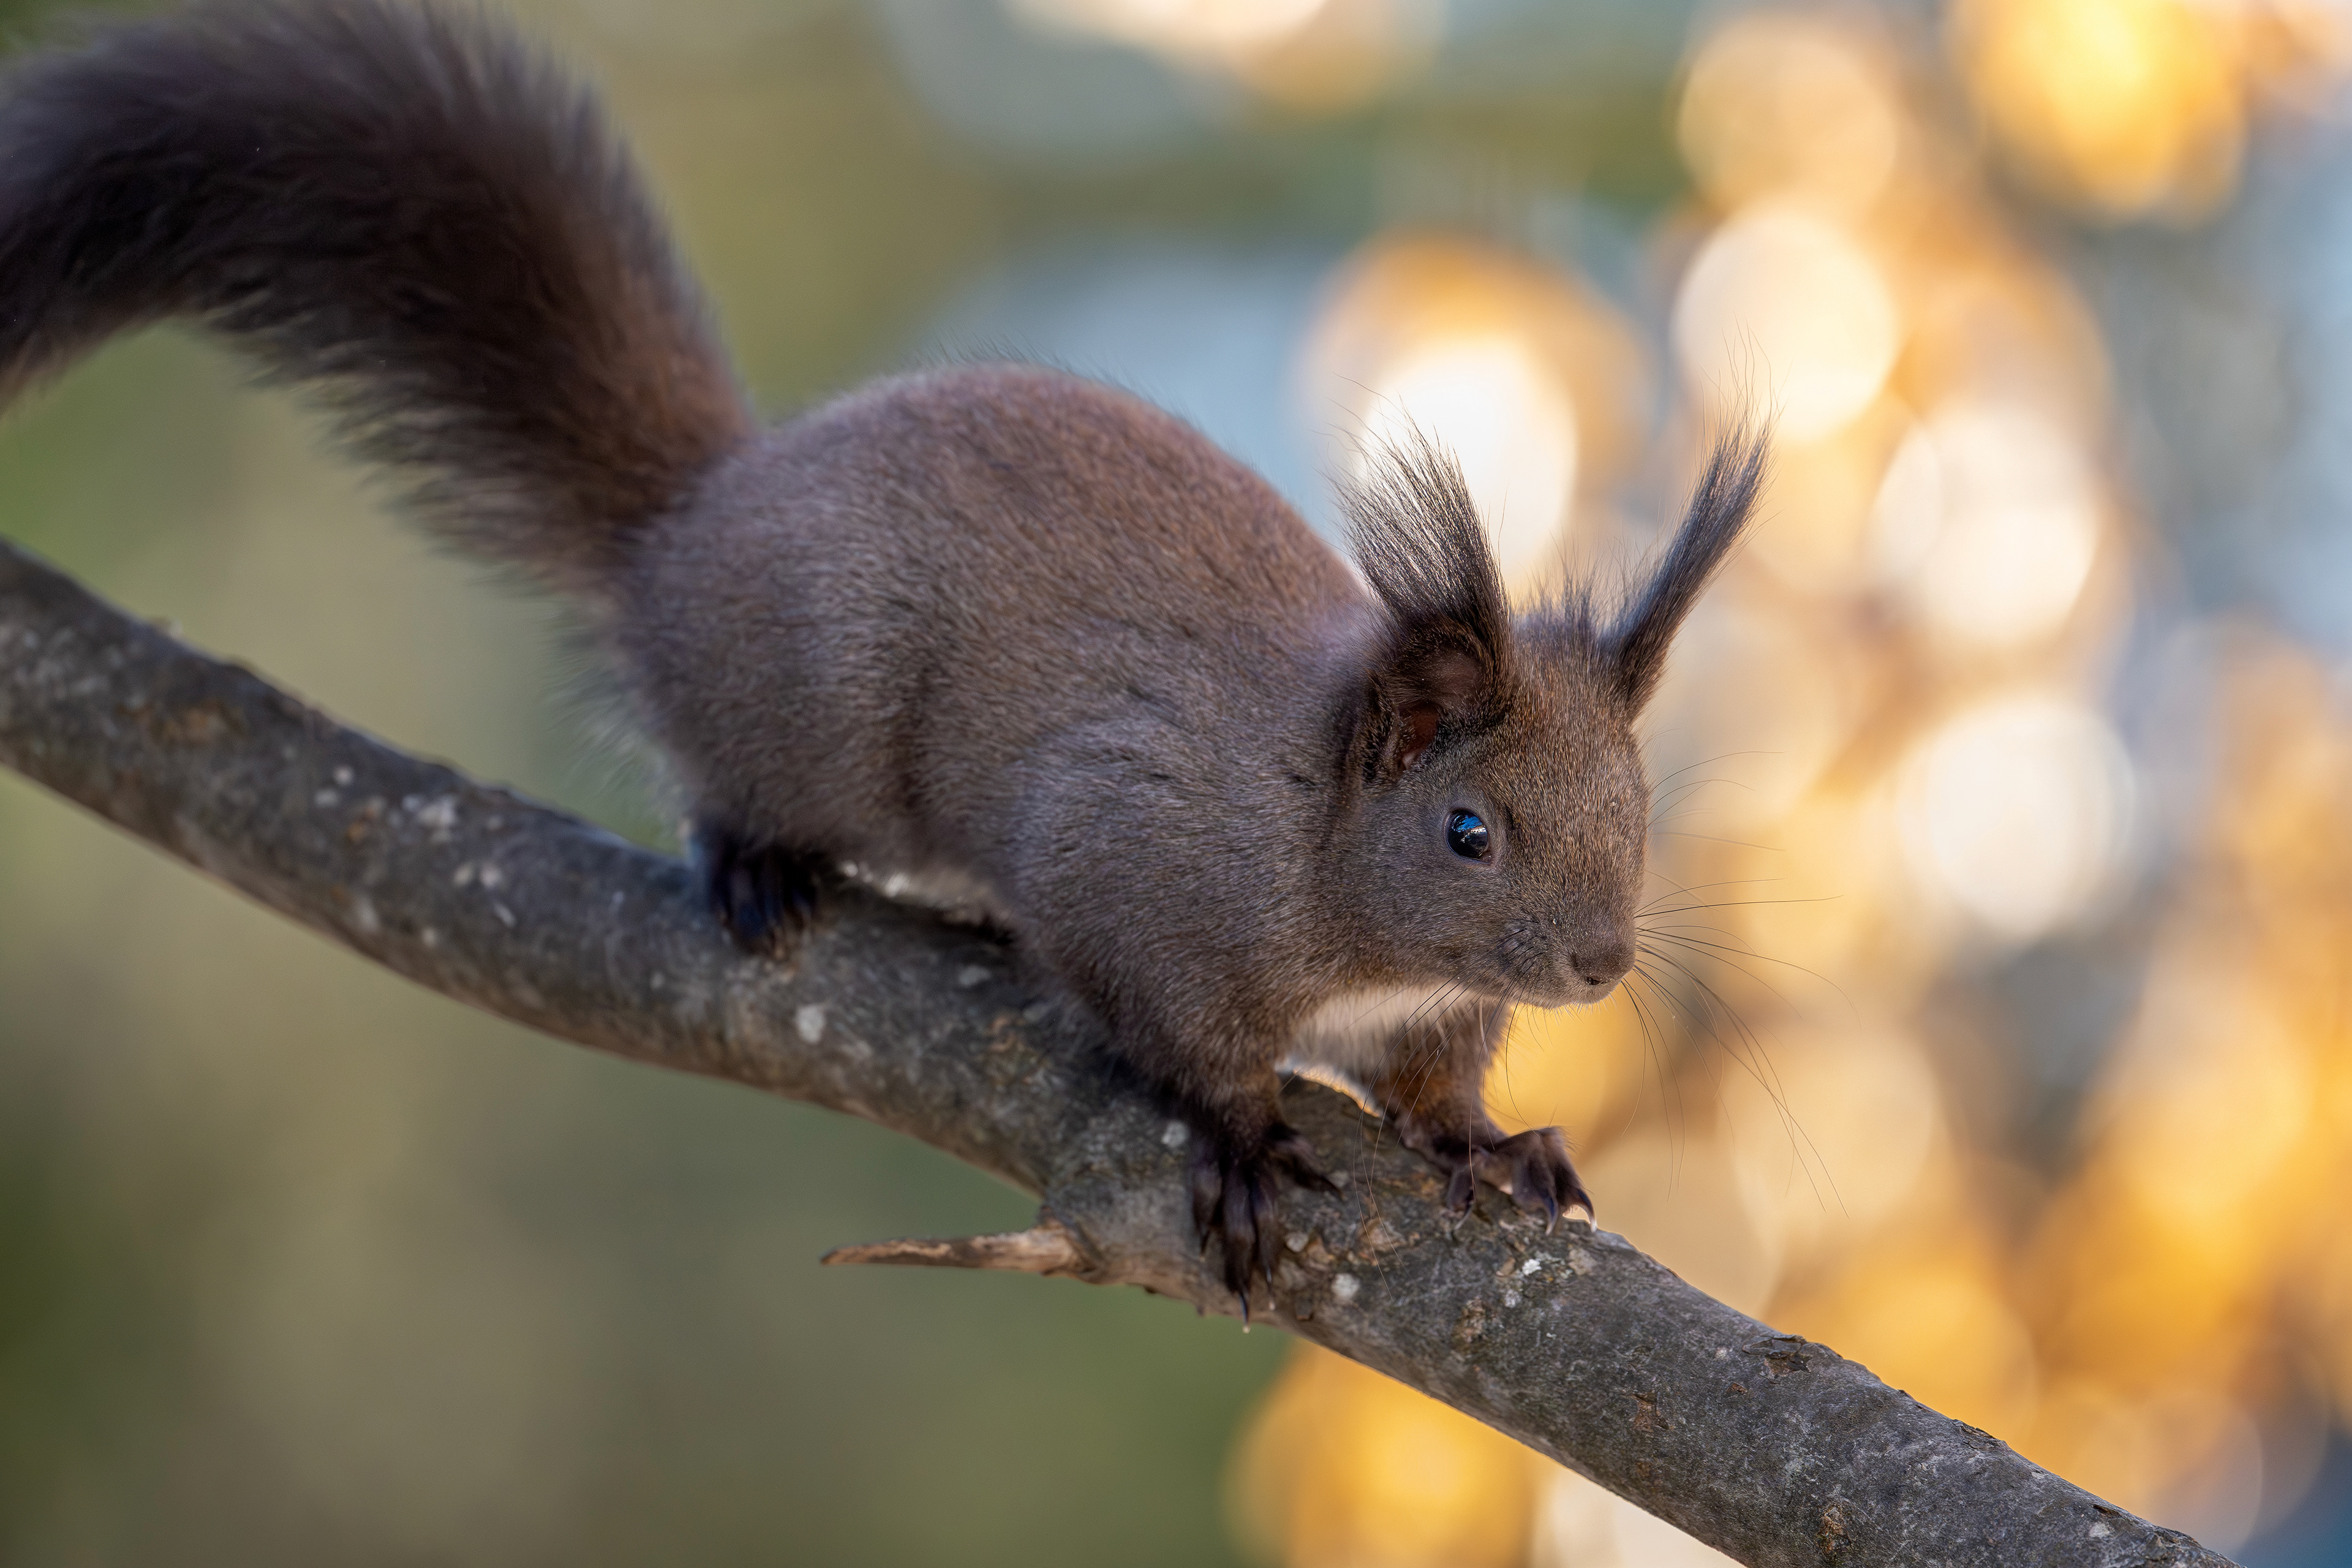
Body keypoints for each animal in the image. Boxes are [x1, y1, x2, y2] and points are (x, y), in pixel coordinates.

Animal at [0, 0, 1765, 1314]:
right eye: (1468, 830)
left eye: (1638, 805)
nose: (1598, 965)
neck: (1323, 835)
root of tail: (690, 533)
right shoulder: (1135, 856)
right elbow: (1177, 1031)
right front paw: (1243, 1141)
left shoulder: (1422, 1011)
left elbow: (1435, 1088)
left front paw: (1488, 1143)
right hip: (815, 705)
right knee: (732, 775)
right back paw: (760, 866)